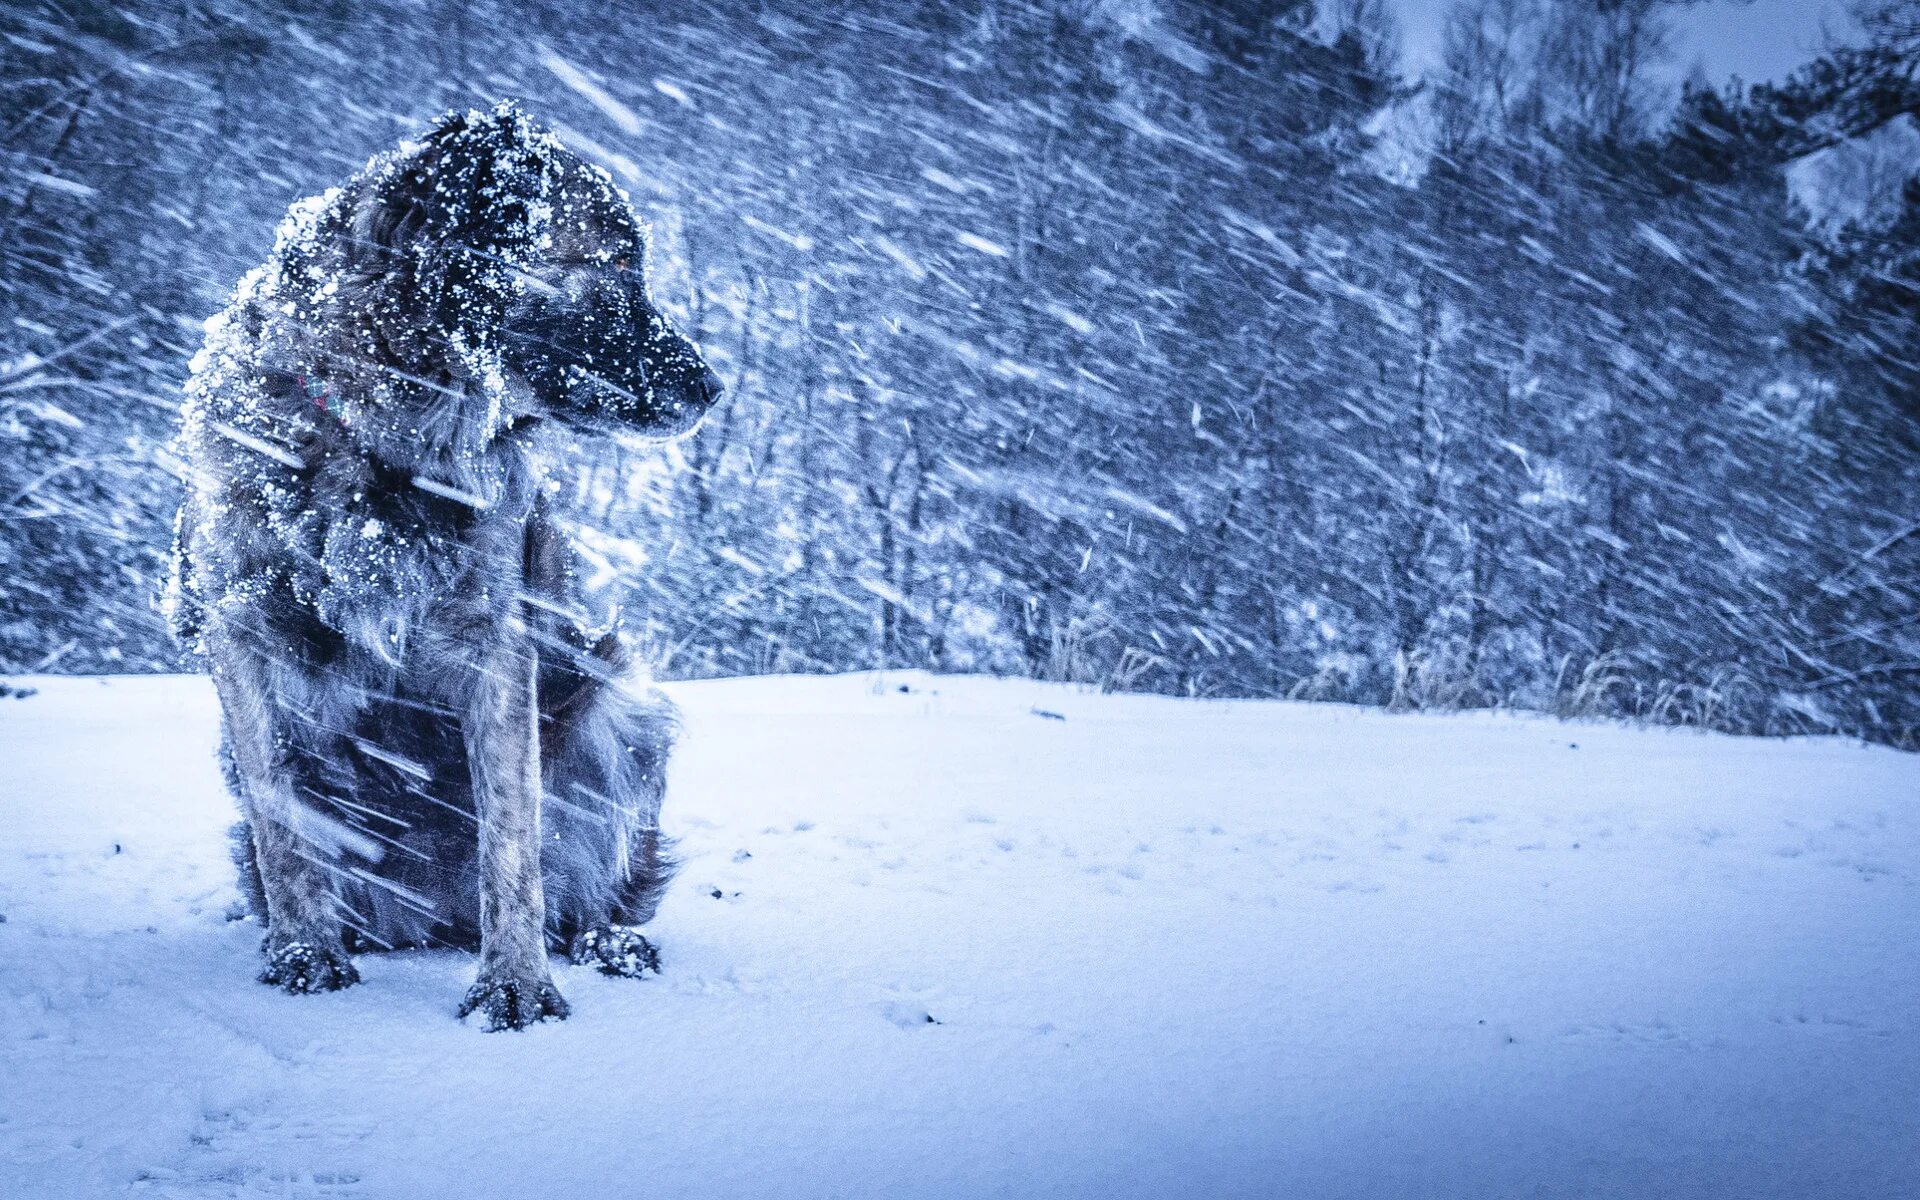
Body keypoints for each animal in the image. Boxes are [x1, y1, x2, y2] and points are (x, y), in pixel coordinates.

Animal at [161, 100, 721, 1029]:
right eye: (614, 264)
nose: (714, 388)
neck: (370, 432)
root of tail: (434, 920)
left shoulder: (494, 642)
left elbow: (513, 838)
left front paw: (515, 983)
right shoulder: (243, 630)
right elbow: (282, 819)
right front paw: (303, 953)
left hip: (619, 706)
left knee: (585, 888)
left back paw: (607, 939)